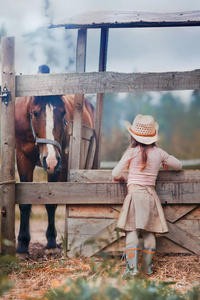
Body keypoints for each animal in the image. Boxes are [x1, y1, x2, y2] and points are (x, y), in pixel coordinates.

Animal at [14, 67, 94, 254]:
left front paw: (51, 241)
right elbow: (25, 203)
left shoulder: (59, 164)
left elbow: (51, 202)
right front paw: (22, 244)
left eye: (63, 113)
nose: (49, 160)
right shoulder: (23, 158)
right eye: (35, 113)